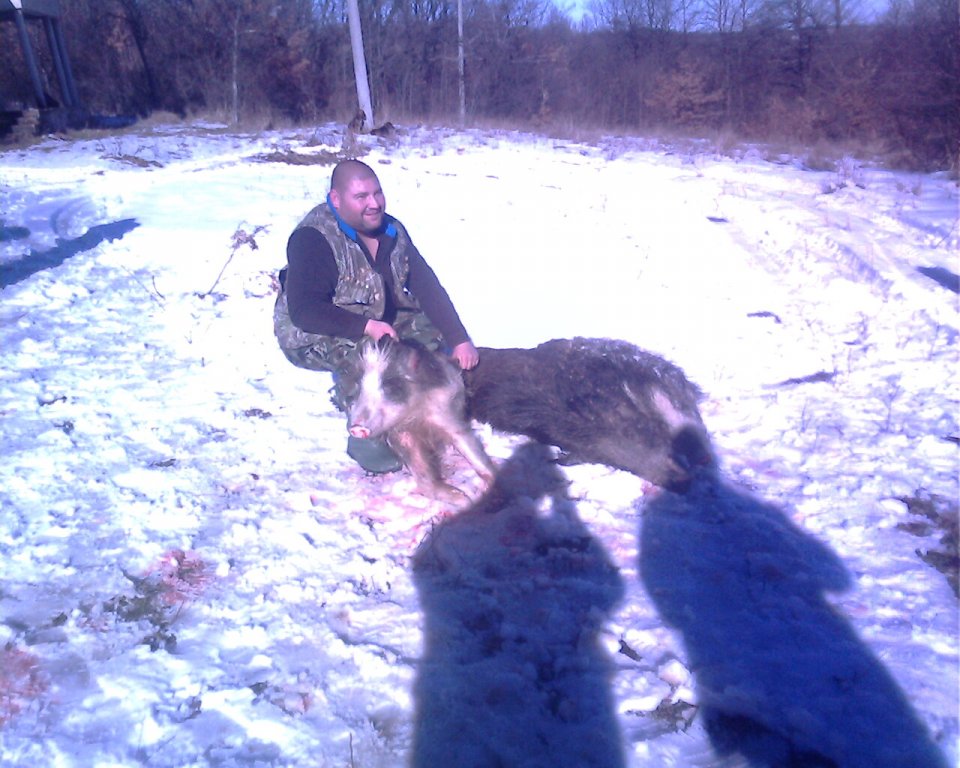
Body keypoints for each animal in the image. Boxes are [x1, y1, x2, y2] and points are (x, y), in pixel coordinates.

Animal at [346, 337, 496, 502]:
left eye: (390, 386)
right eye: (358, 387)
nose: (356, 428)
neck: (415, 417)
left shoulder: (445, 413)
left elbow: (468, 447)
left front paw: (475, 495)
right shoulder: (402, 434)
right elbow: (421, 470)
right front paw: (462, 498)